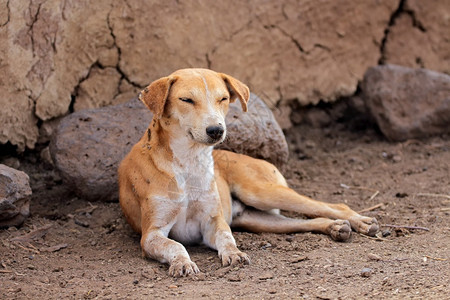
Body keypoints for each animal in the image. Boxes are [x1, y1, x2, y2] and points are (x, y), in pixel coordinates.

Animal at [117, 68, 380, 276]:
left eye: (223, 98)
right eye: (186, 100)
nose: (216, 130)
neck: (189, 162)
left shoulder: (213, 222)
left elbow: (227, 238)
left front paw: (234, 253)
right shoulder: (151, 234)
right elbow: (175, 245)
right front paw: (183, 263)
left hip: (261, 192)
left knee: (334, 206)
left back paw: (361, 222)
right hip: (260, 220)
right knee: (307, 221)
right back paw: (335, 227)